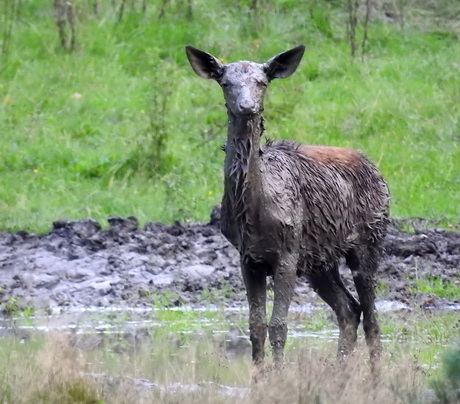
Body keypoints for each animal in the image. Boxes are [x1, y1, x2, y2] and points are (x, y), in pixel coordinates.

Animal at [185, 44, 390, 372]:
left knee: (372, 318)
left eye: (262, 82)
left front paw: (279, 375)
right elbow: (255, 325)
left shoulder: (288, 254)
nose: (247, 106)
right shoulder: (248, 258)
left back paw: (374, 377)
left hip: (369, 240)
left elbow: (278, 326)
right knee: (349, 310)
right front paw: (258, 376)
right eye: (225, 82)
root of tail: (376, 169)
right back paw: (339, 374)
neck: (252, 213)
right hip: (320, 260)